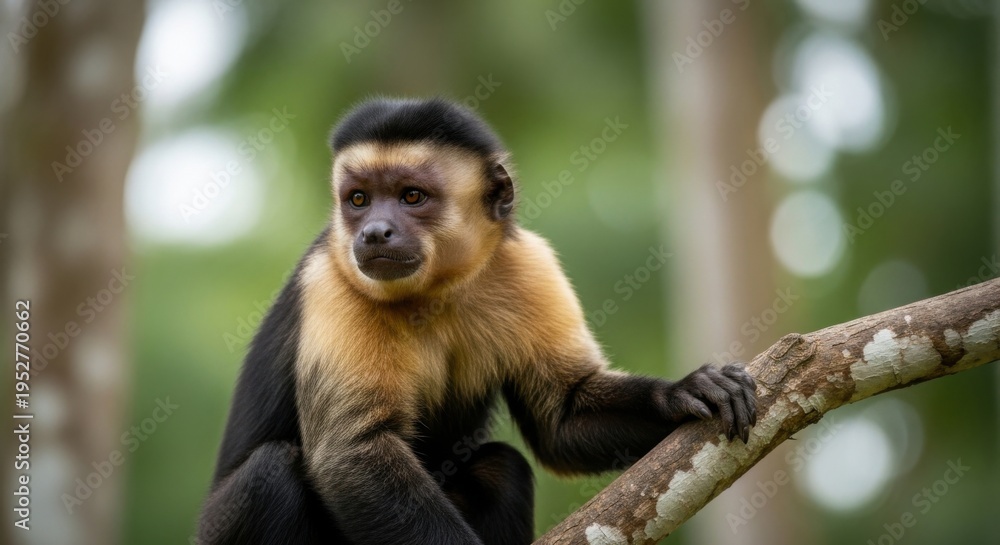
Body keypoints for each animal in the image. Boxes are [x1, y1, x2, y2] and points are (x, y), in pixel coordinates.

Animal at [197, 97, 757, 545]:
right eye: (359, 200)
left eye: (411, 196)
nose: (373, 232)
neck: (436, 291)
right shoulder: (329, 284)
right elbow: (352, 454)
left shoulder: (531, 264)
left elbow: (561, 419)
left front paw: (682, 393)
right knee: (270, 474)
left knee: (501, 468)